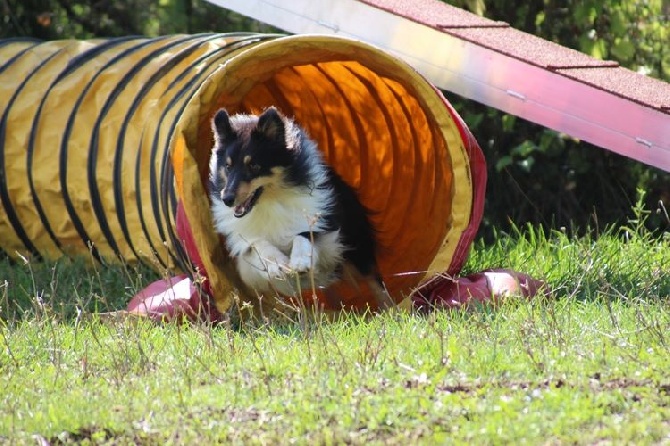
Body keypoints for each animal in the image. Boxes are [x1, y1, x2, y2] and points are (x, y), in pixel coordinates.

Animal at [207, 106, 392, 308]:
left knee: (374, 280)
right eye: (228, 166)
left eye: (254, 166)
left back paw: (390, 308)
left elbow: (302, 234)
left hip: (356, 245)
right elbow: (259, 243)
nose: (227, 199)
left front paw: (300, 262)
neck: (268, 202)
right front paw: (278, 264)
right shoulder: (245, 244)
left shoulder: (323, 224)